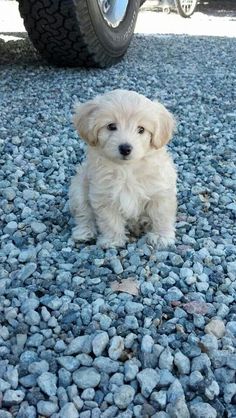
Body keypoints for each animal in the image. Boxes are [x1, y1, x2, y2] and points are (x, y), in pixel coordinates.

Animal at [69, 90, 176, 247]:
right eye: (111, 126)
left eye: (141, 129)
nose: (125, 148)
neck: (127, 170)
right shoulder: (103, 194)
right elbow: (109, 221)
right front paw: (113, 240)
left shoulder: (160, 191)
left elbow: (161, 215)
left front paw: (161, 236)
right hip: (79, 188)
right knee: (84, 213)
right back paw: (84, 232)